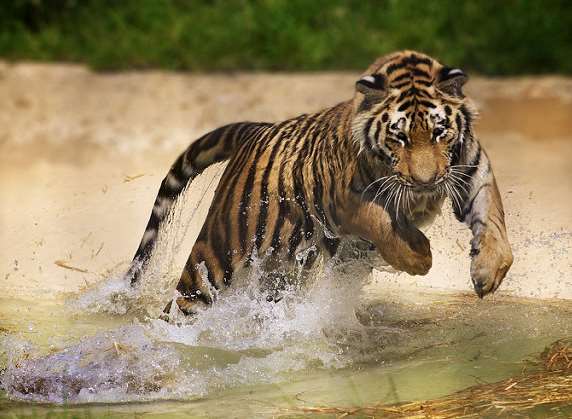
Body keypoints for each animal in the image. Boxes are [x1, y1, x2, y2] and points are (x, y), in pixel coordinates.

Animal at [125, 50, 512, 316]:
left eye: (439, 132)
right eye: (398, 137)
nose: (425, 182)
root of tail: (257, 129)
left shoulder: (473, 172)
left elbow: (494, 221)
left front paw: (488, 272)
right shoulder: (345, 201)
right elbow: (381, 221)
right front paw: (418, 256)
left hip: (283, 268)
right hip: (217, 253)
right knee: (183, 301)